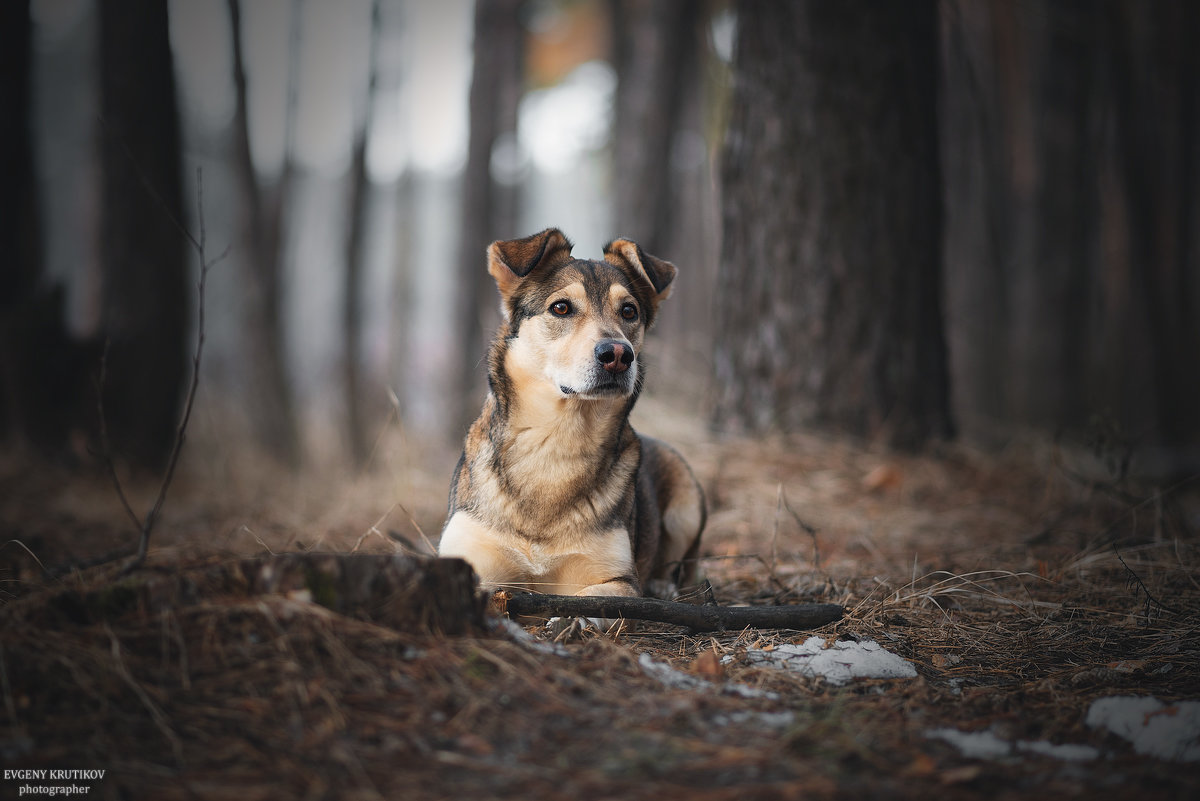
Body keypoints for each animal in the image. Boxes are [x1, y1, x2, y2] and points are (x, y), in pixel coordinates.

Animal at [439, 227, 700, 597]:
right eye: (561, 307)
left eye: (629, 311)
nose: (618, 355)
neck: (555, 440)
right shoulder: (471, 555)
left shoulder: (616, 578)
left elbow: (594, 597)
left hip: (686, 507)